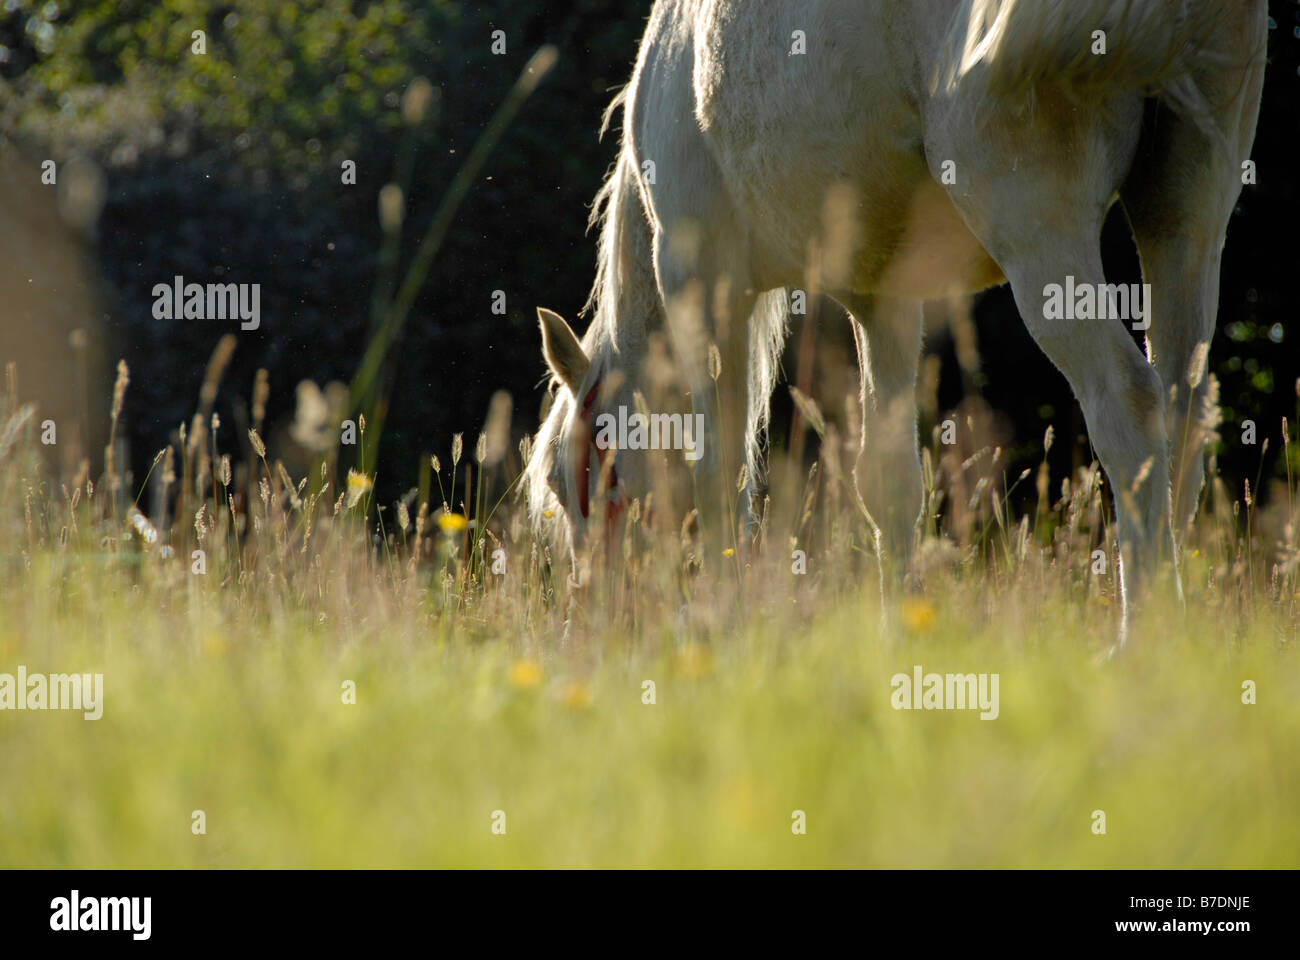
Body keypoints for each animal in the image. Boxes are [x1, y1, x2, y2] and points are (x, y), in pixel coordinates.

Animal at [523, 0, 1267, 632]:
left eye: (577, 476)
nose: (598, 616)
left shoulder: (706, 291)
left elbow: (721, 478)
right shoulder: (882, 299)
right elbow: (889, 483)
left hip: (1037, 222)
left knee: (1128, 405)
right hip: (1186, 213)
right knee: (1183, 415)